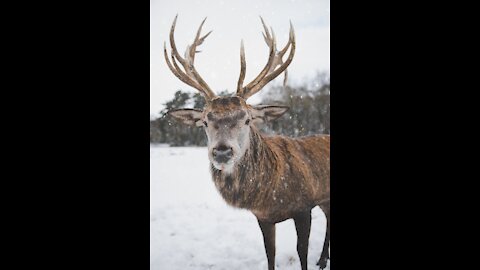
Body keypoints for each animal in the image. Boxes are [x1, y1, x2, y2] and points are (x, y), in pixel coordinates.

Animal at [163, 15, 328, 270]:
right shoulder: (263, 217)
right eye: (205, 121)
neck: (271, 195)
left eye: (247, 119)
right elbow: (270, 253)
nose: (222, 152)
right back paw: (322, 259)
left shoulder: (304, 206)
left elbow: (301, 253)